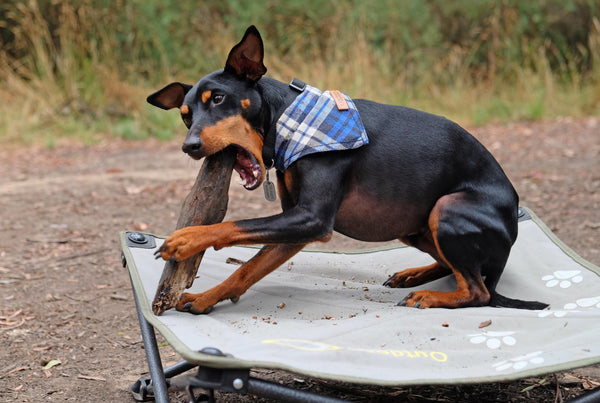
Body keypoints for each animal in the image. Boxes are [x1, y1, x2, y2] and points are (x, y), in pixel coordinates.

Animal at [148, 25, 548, 316]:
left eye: (218, 98)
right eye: (185, 118)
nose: (190, 147)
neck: (285, 117)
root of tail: (511, 235)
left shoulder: (311, 218)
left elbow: (231, 226)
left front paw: (186, 239)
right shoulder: (298, 225)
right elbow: (247, 269)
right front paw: (205, 298)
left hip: (446, 208)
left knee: (478, 292)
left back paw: (430, 296)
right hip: (412, 225)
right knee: (458, 271)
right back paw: (415, 275)